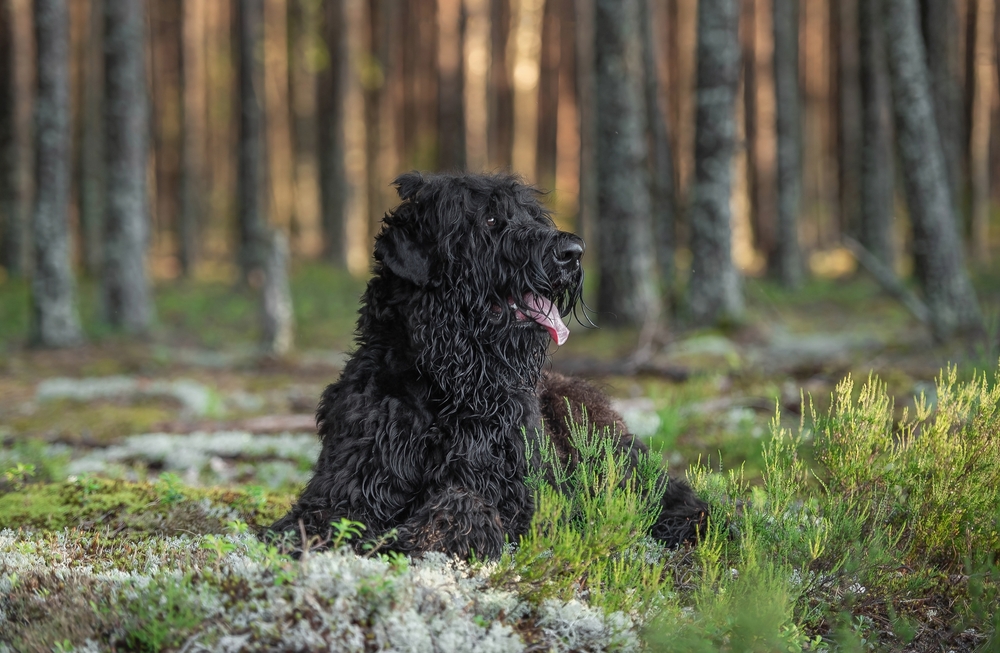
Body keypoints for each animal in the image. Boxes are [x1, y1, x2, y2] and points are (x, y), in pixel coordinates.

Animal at [264, 172, 704, 556]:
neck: (441, 383)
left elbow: (461, 507)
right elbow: (322, 515)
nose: (573, 253)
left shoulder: (509, 492)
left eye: (533, 216)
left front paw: (415, 538)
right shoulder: (348, 478)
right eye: (490, 219)